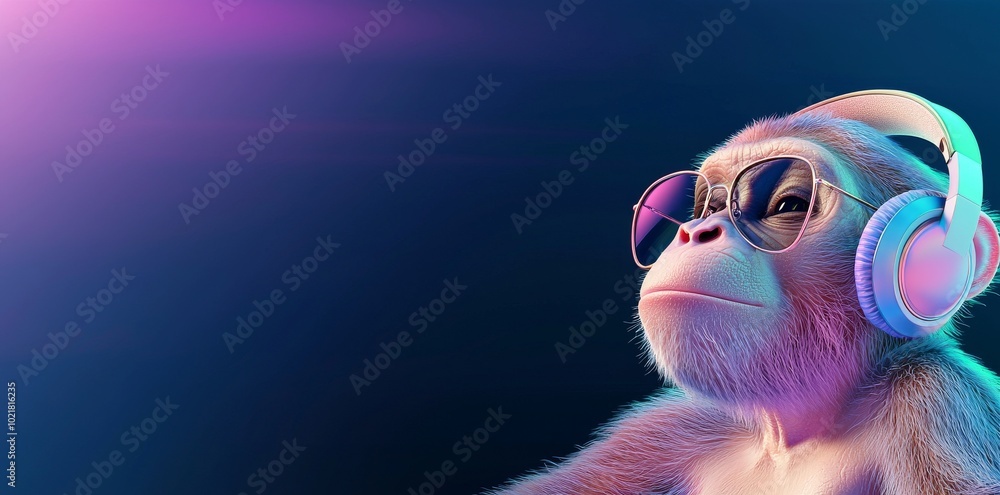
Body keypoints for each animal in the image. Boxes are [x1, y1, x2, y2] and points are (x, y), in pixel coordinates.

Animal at [485, 99, 1000, 494]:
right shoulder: (669, 427)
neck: (791, 435)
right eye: (705, 206)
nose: (696, 230)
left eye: (789, 204)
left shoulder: (934, 398)